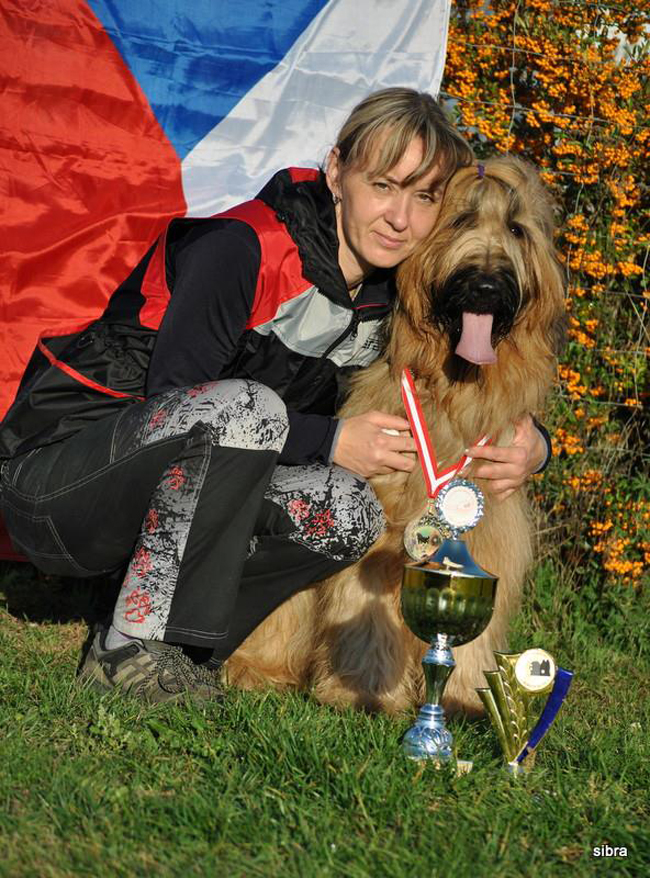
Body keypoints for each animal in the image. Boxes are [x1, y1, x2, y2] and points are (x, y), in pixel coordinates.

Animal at [225, 158, 564, 720]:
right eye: (461, 220)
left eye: (517, 230)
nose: (488, 287)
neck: (452, 391)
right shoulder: (384, 535)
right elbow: (366, 612)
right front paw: (363, 693)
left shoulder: (483, 537)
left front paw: (464, 699)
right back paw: (254, 669)